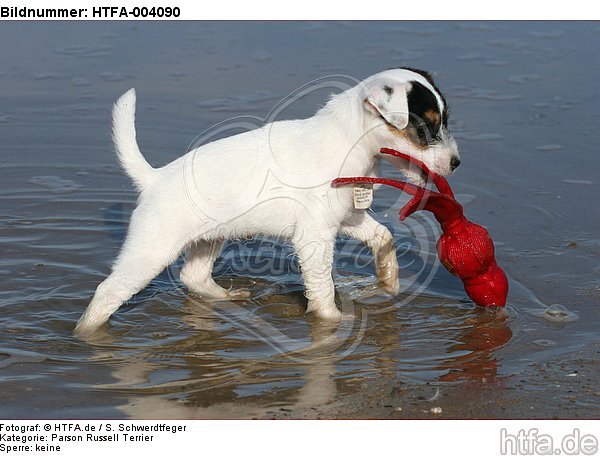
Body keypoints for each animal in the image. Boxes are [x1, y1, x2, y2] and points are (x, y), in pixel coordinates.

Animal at [75, 67, 460, 334]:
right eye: (424, 127)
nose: (456, 163)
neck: (347, 143)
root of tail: (153, 178)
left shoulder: (347, 219)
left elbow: (384, 238)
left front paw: (388, 283)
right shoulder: (313, 238)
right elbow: (322, 287)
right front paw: (332, 322)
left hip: (210, 238)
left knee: (192, 276)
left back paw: (226, 298)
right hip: (151, 251)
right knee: (107, 292)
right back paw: (86, 333)